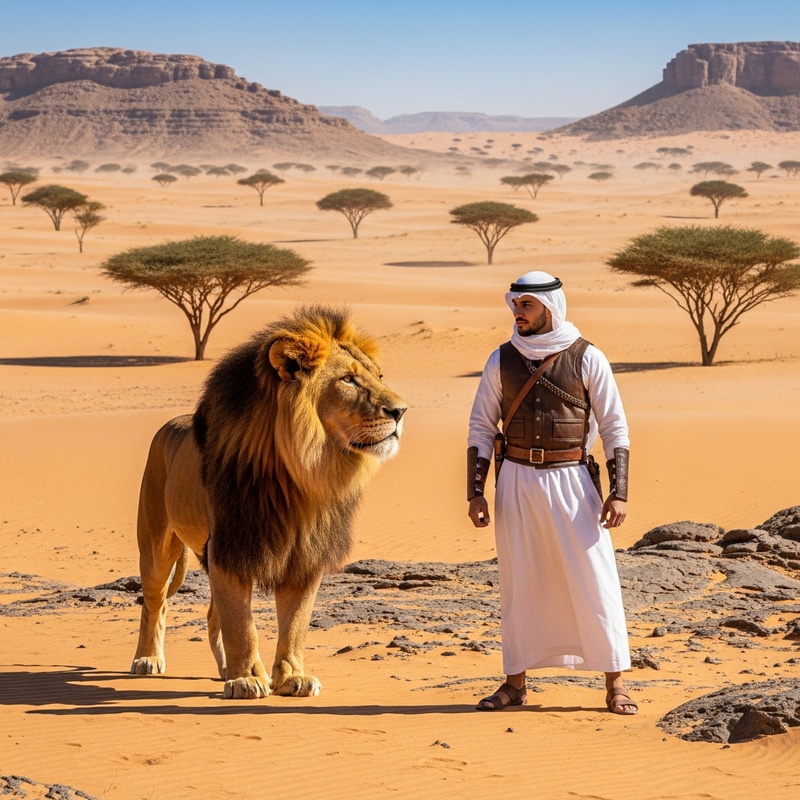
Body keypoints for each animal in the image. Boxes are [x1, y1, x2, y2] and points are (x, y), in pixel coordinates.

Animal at [130, 305, 406, 699]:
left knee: (210, 615)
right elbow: (241, 625)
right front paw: (246, 679)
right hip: (156, 544)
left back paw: (224, 669)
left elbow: (295, 625)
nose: (401, 411)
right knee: (155, 602)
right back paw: (148, 659)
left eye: (379, 376)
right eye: (348, 381)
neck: (304, 473)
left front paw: (291, 677)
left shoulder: (305, 555)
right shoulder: (231, 547)